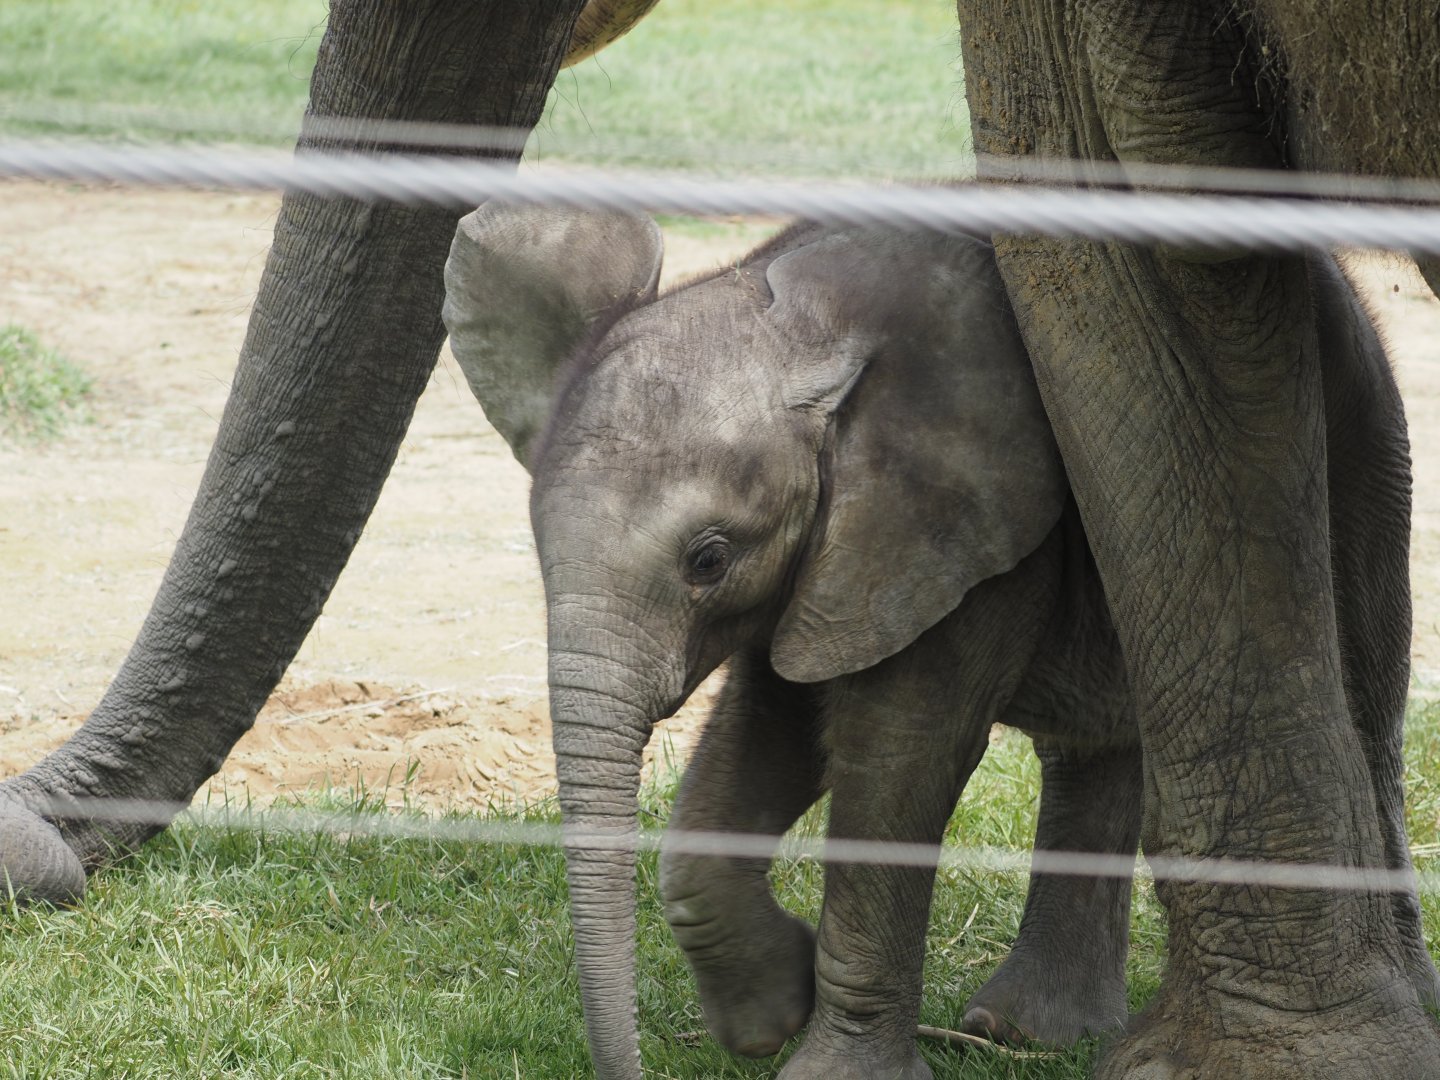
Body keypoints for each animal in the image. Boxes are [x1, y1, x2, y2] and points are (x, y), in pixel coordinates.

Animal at [441, 201, 1422, 1080]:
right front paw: (768, 1014)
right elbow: (776, 728)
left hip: (1360, 451)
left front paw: (823, 1064)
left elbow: (898, 753)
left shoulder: (959, 519)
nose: (631, 1067)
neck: (800, 324)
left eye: (708, 559)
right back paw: (1029, 1035)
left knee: (1366, 706)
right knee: (1100, 745)